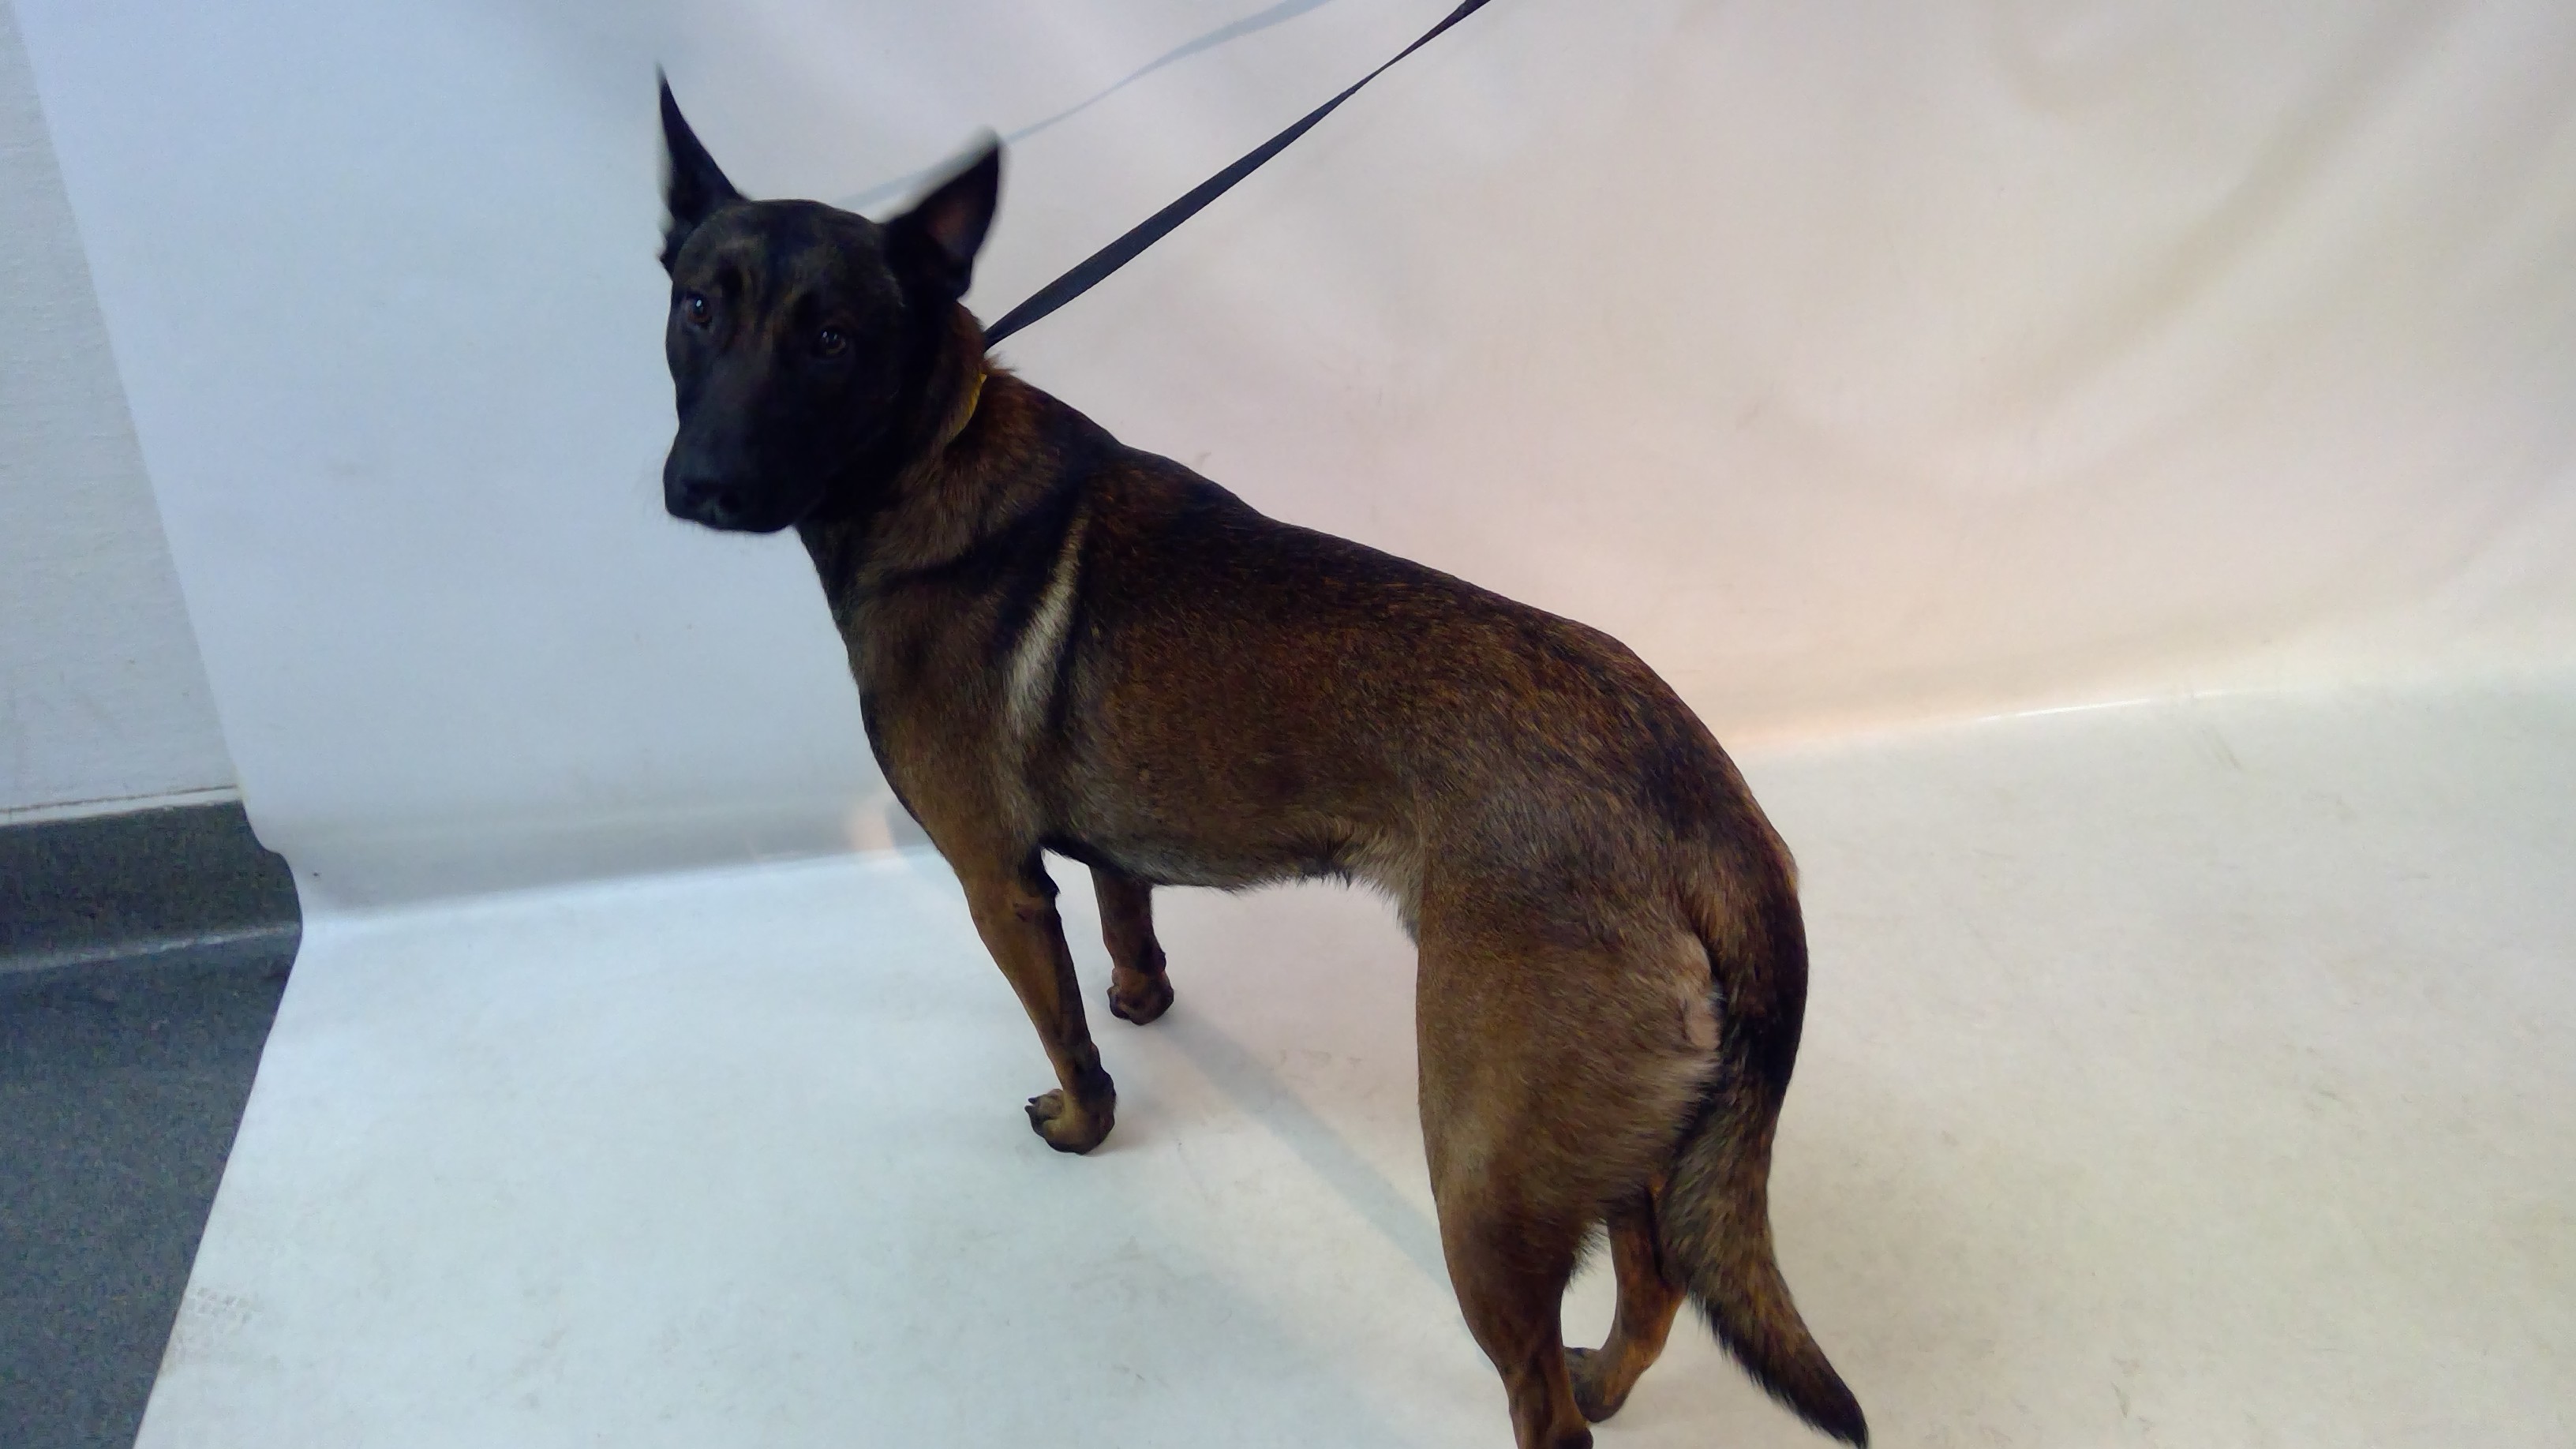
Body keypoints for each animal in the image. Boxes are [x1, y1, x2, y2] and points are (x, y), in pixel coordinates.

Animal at [654, 79, 1865, 1449]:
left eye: (832, 339)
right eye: (700, 307)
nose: (702, 486)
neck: (932, 446)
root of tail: (1705, 803)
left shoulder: (997, 887)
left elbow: (1062, 1030)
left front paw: (1084, 1121)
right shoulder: (1105, 850)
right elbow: (1126, 924)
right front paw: (1144, 999)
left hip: (1484, 1177)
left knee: (1546, 1391)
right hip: (1622, 1138)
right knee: (1655, 1289)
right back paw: (1610, 1376)